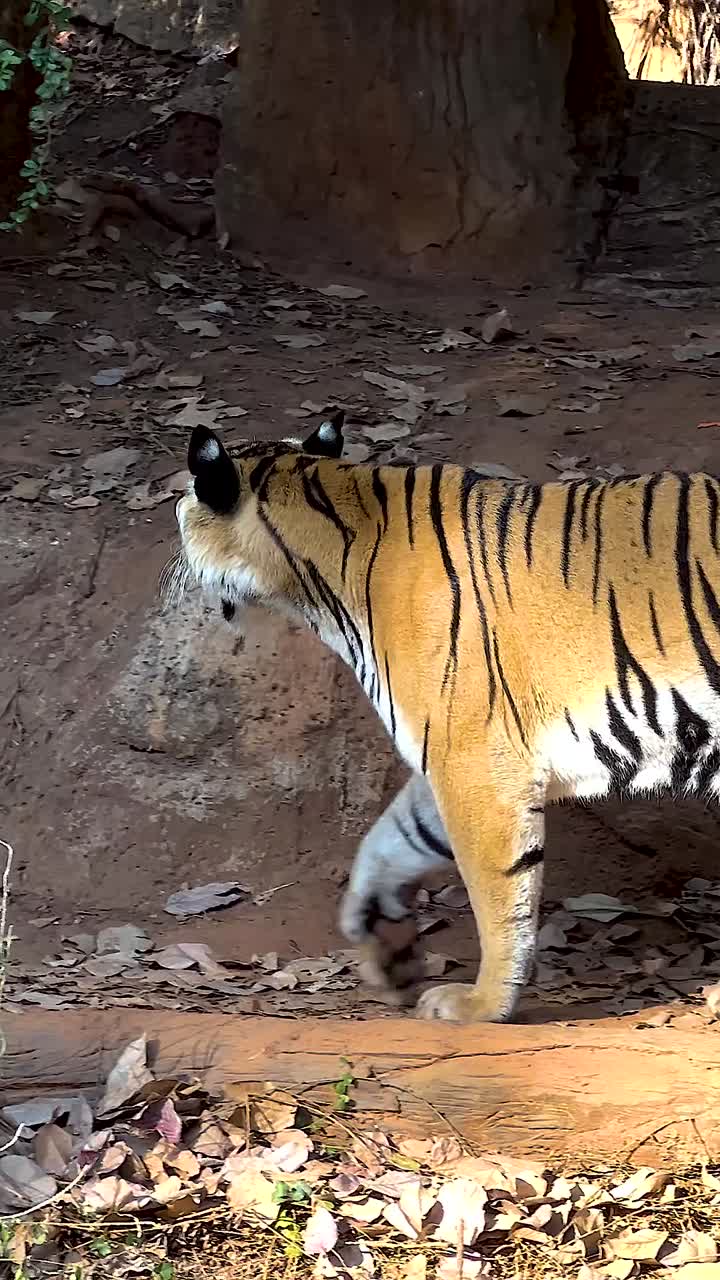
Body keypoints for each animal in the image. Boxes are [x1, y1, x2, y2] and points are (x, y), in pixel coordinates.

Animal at [168, 408, 720, 1023]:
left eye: (185, 502)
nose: (176, 548)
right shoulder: (447, 753)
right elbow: (392, 836)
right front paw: (381, 942)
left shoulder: (477, 764)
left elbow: (498, 898)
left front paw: (481, 1004)